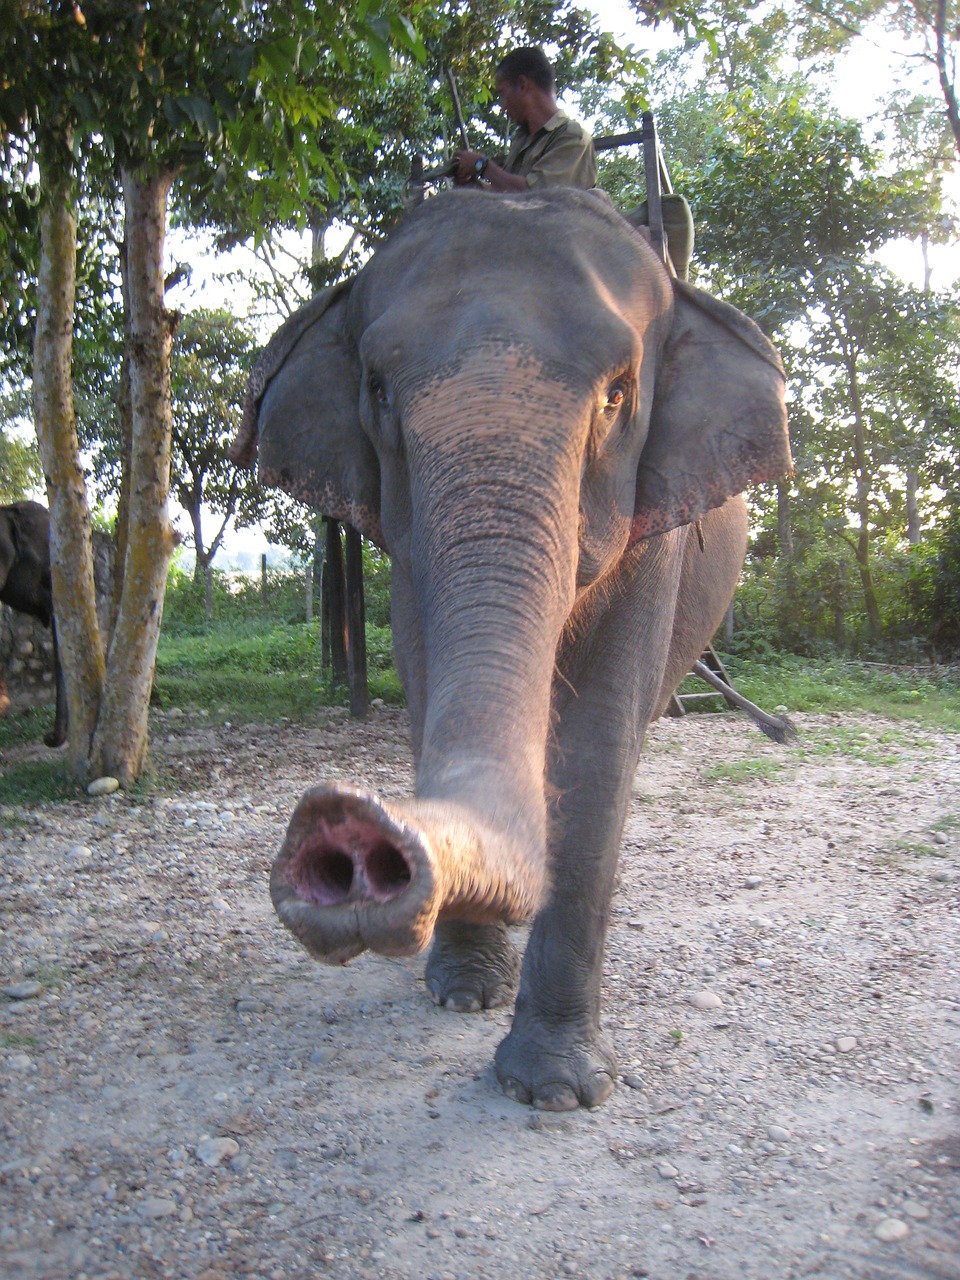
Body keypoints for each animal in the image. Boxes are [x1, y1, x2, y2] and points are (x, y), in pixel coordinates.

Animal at [236, 183, 793, 1111]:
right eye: (378, 389)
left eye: (617, 396)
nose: (349, 830)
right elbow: (429, 692)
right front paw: (462, 993)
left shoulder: (656, 535)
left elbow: (598, 741)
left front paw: (556, 1090)